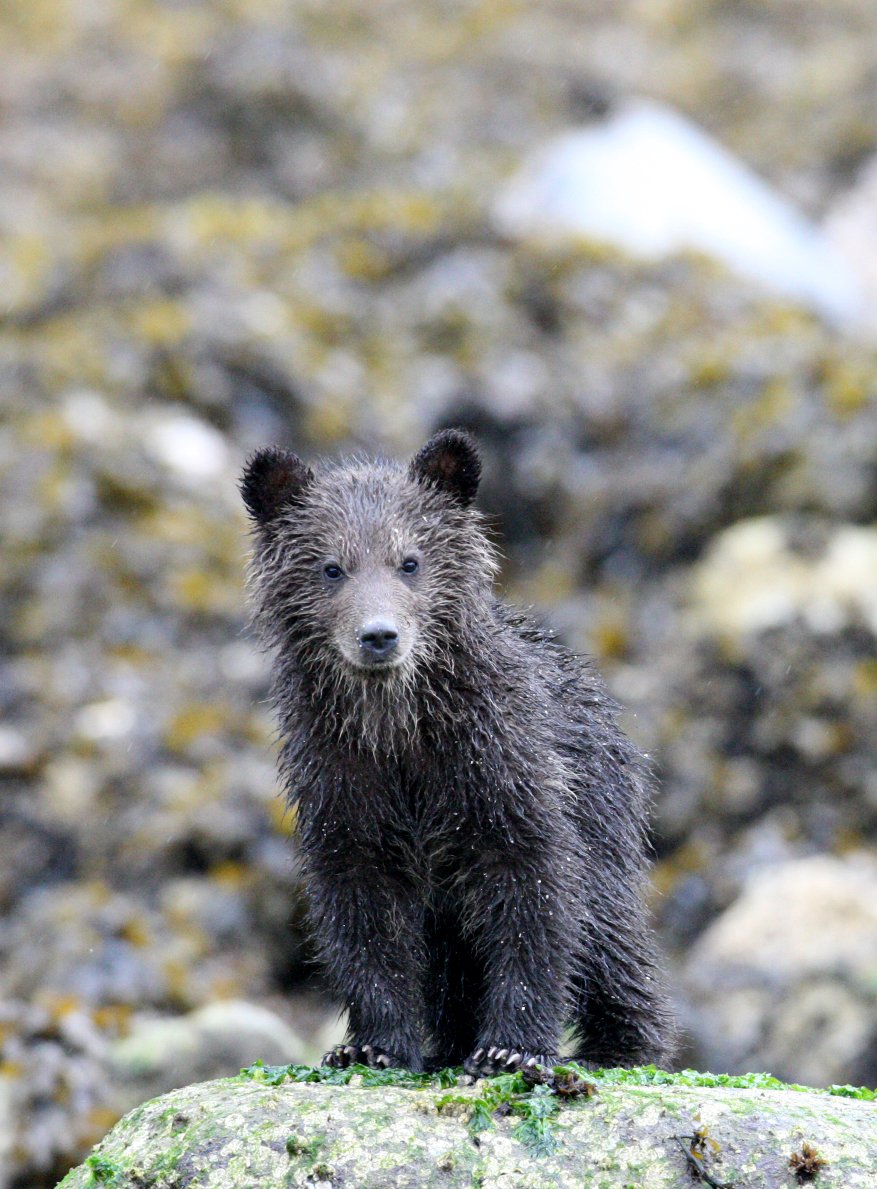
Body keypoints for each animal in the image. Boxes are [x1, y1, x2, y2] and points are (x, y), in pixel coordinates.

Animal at [241, 429, 675, 1075]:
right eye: (332, 566)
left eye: (410, 560)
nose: (379, 635)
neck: (398, 730)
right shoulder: (342, 778)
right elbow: (362, 906)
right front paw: (372, 1044)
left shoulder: (500, 768)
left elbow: (536, 892)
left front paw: (511, 1048)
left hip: (604, 808)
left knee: (607, 937)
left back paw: (623, 1046)